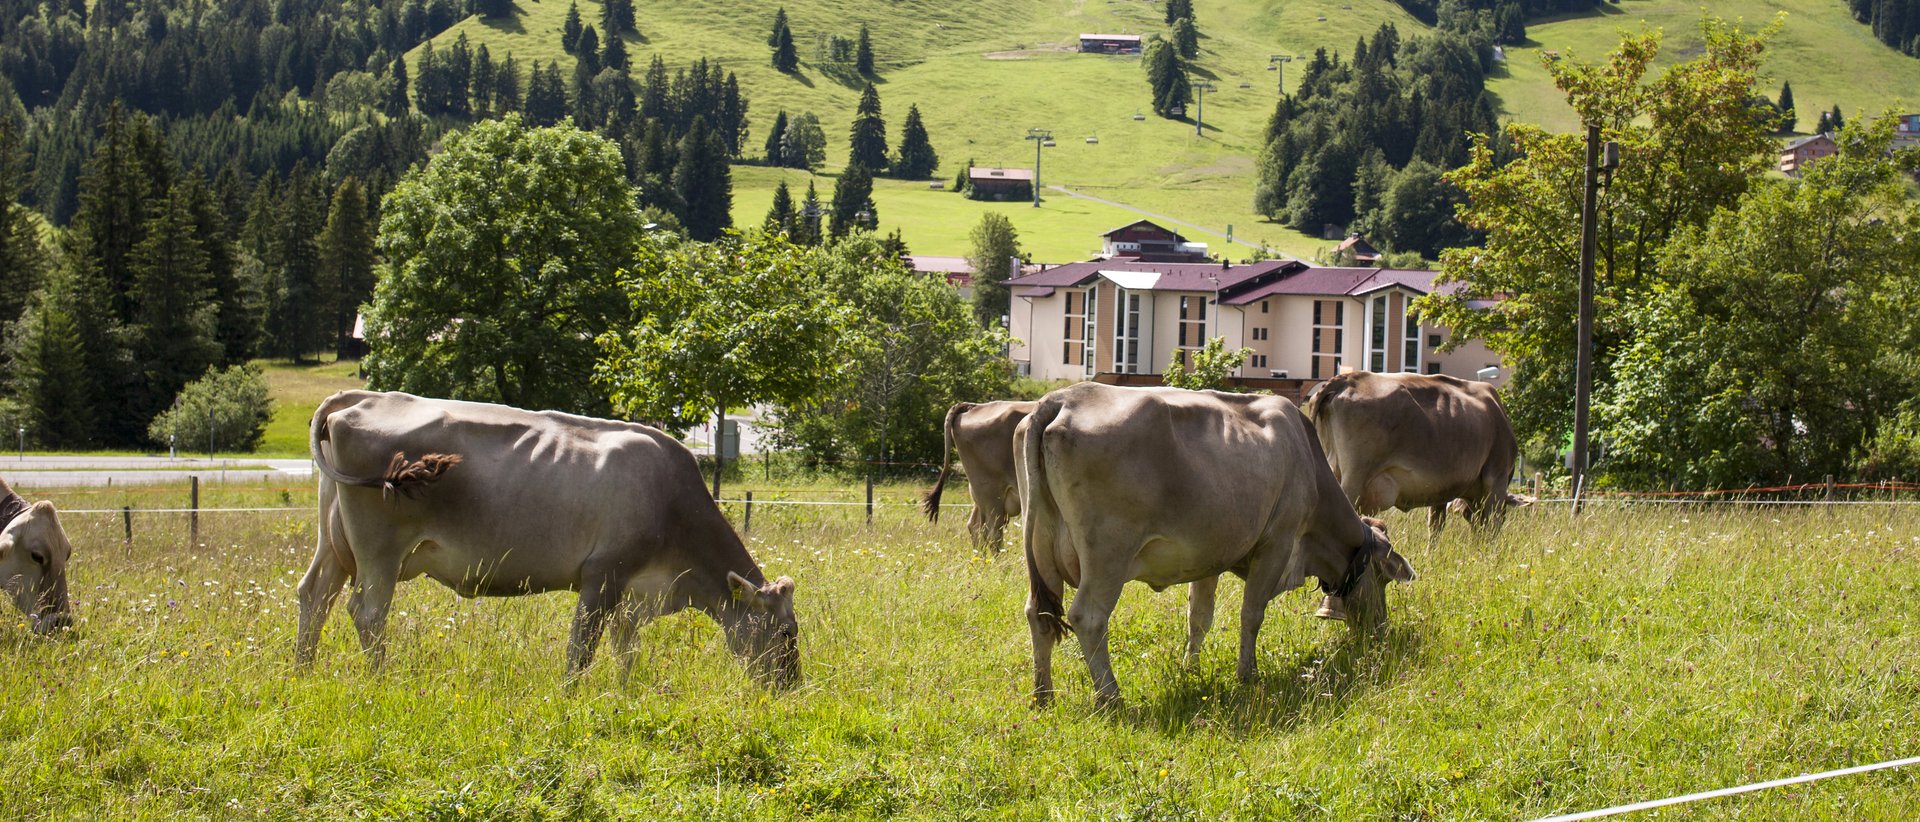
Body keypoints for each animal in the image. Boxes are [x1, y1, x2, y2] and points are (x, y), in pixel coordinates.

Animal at [298, 390, 799, 688]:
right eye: (785, 631)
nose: (792, 686)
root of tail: (362, 398)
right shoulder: (604, 574)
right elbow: (583, 646)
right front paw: (569, 697)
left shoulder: (633, 593)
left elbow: (626, 649)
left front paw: (629, 694)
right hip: (379, 551)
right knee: (366, 611)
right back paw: (381, 681)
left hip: (334, 544)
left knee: (315, 594)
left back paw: (302, 673)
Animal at [1022, 383, 1417, 707]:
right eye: (1384, 578)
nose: (1381, 630)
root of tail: (1062, 398)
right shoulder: (1277, 542)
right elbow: (1251, 613)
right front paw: (1248, 674)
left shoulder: (1206, 556)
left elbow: (1199, 617)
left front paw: (1191, 670)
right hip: (1108, 555)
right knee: (1087, 617)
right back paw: (1111, 697)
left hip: (1042, 549)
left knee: (1038, 616)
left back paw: (1043, 696)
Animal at [1302, 372, 1521, 542]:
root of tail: (1348, 378)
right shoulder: (1497, 478)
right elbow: (1492, 523)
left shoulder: (1442, 490)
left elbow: (1436, 526)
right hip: (1354, 478)